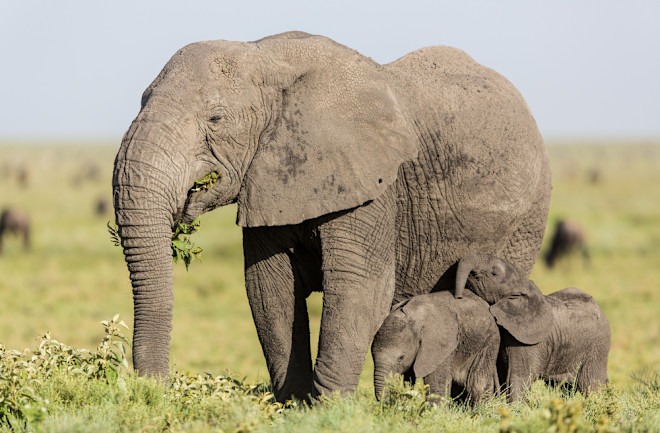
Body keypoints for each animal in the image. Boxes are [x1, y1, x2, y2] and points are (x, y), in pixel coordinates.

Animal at [456, 251, 612, 400]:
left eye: (494, 273)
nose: (458, 296)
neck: (523, 286)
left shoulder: (527, 343)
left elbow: (518, 377)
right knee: (566, 388)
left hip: (597, 348)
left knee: (591, 384)